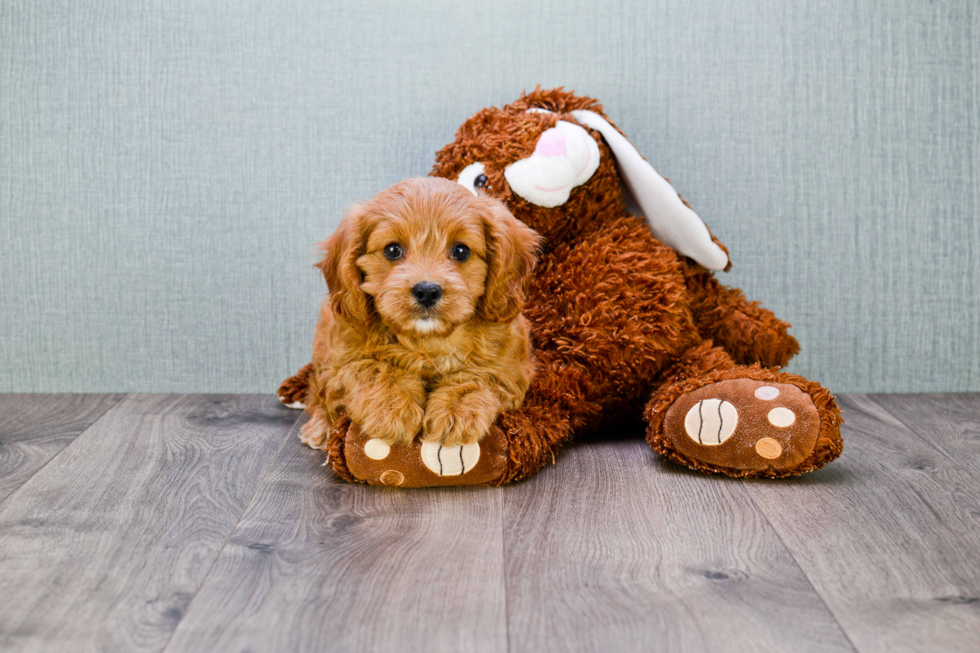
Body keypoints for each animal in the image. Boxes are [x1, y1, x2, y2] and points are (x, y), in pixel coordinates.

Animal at [300, 178, 540, 454]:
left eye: (461, 251)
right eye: (392, 250)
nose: (427, 291)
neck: (427, 340)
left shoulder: (510, 368)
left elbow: (479, 375)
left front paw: (456, 410)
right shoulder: (339, 363)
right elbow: (369, 367)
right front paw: (393, 408)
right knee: (317, 396)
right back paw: (319, 428)